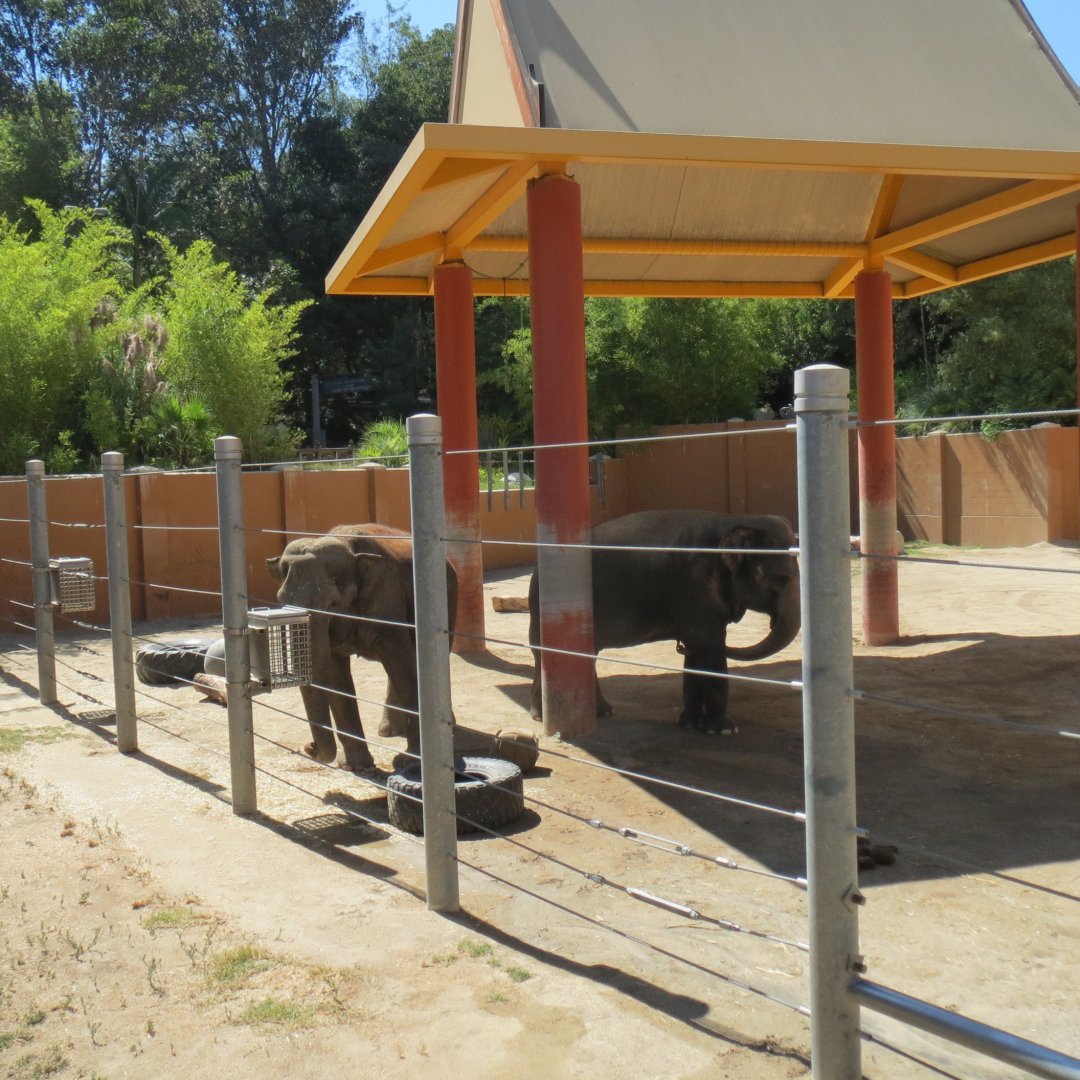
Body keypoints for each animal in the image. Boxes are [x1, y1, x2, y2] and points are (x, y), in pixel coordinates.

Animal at [266, 524, 457, 772]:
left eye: (333, 603)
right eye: (281, 601)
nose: (309, 747)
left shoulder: (386, 599)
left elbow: (402, 664)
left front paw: (411, 762)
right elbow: (336, 677)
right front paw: (355, 766)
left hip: (448, 599)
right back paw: (388, 732)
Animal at [528, 509, 799, 735]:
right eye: (782, 578)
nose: (679, 646)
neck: (730, 522)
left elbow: (697, 654)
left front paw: (691, 724)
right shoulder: (694, 590)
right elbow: (711, 649)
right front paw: (724, 730)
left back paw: (602, 711)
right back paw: (541, 716)